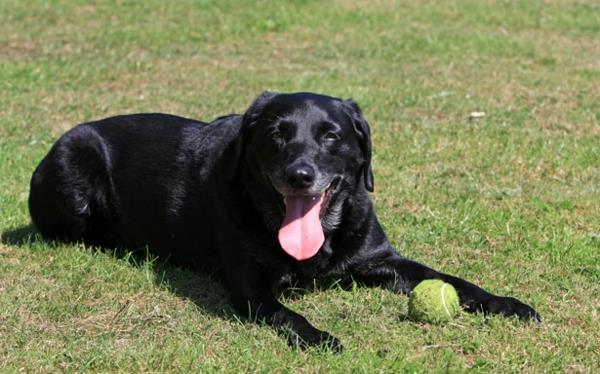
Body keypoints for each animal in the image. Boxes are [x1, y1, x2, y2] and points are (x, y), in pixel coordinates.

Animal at [30, 92, 540, 352]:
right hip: (73, 167)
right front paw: (320, 336)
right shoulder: (250, 286)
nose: (300, 175)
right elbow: (286, 313)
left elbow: (454, 281)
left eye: (331, 135)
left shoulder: (380, 259)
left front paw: (507, 304)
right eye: (276, 135)